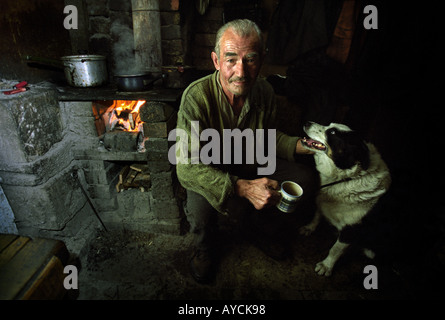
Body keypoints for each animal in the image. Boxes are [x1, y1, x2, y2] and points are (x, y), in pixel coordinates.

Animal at [298, 121, 388, 276]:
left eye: (333, 133)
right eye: (329, 125)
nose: (307, 122)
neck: (346, 177)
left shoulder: (351, 229)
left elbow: (335, 249)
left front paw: (326, 266)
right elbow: (317, 215)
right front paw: (310, 227)